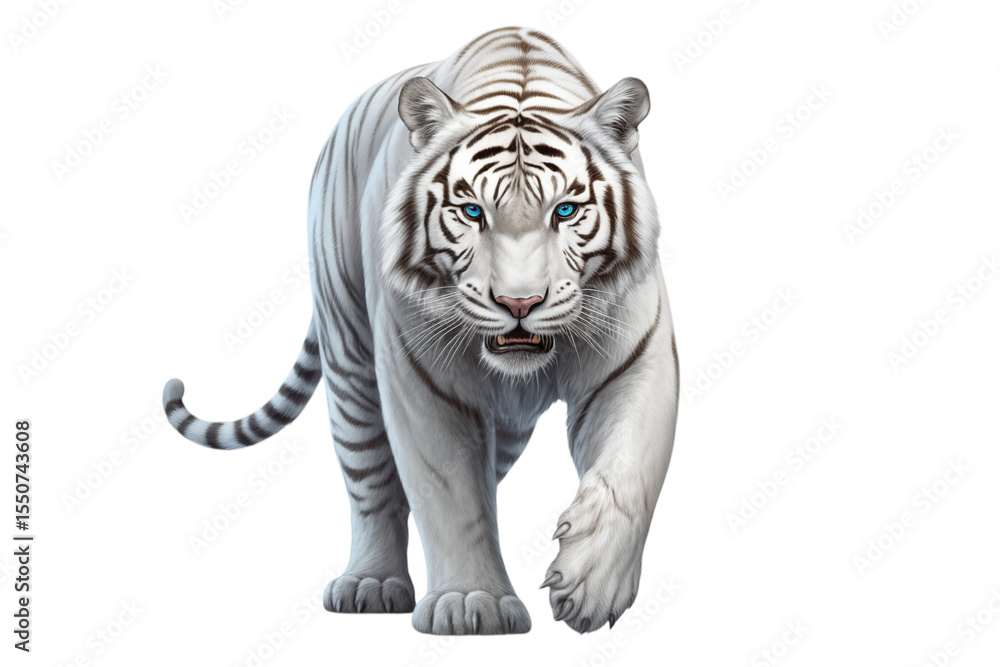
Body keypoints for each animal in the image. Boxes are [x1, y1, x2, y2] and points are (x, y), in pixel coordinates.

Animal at [163, 26, 678, 635]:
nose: (520, 303)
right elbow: (450, 494)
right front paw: (472, 601)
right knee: (371, 482)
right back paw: (370, 584)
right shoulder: (424, 382)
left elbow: (630, 468)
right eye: (472, 211)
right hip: (350, 357)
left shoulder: (635, 361)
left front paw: (590, 585)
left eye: (566, 211)